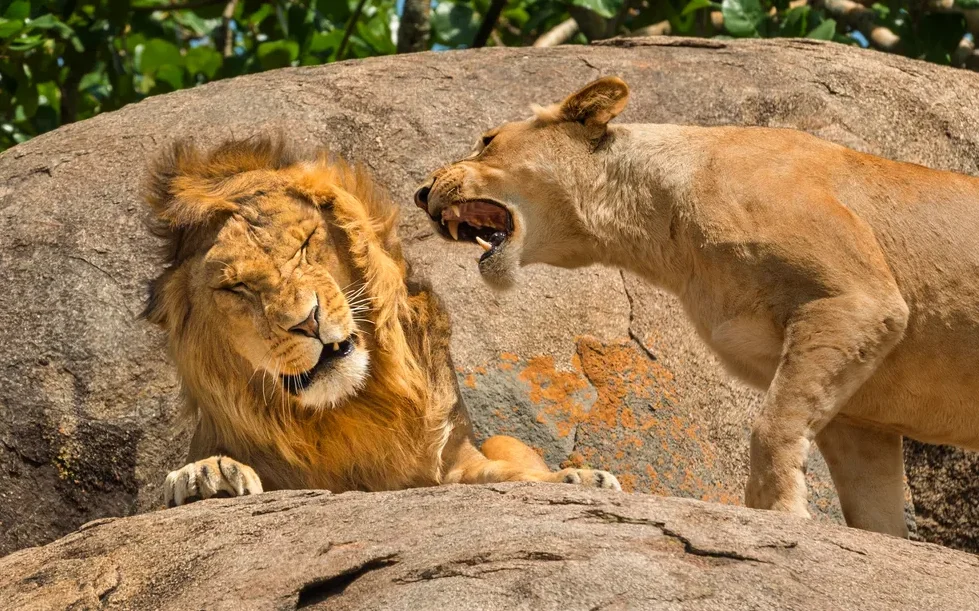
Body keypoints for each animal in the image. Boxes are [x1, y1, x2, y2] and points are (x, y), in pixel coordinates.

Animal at [142, 135, 620, 507]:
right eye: (235, 287)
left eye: (305, 244)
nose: (307, 321)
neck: (349, 409)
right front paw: (206, 476)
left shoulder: (452, 460)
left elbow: (504, 474)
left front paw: (576, 479)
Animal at [414, 76, 979, 538]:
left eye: (487, 140)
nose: (421, 192)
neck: (661, 228)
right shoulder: (859, 412)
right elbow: (873, 508)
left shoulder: (857, 299)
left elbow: (772, 426)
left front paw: (778, 514)